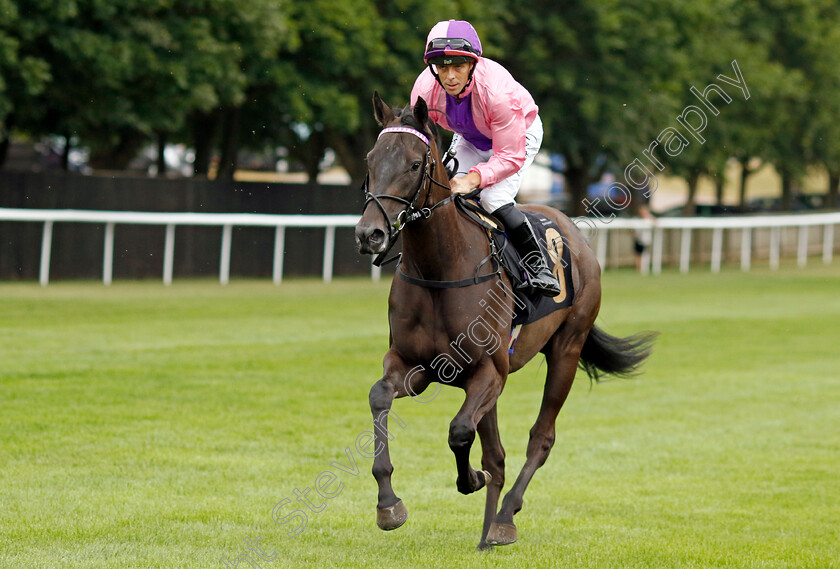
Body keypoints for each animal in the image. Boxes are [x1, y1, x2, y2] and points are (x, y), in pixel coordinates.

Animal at [354, 93, 656, 552]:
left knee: (540, 438)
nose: (369, 234)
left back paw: (503, 520)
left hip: (566, 350)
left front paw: (470, 481)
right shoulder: (414, 366)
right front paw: (389, 504)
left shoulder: (489, 372)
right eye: (371, 159)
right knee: (496, 452)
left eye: (413, 163)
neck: (440, 268)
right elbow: (379, 396)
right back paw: (485, 532)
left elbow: (460, 431)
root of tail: (571, 230)